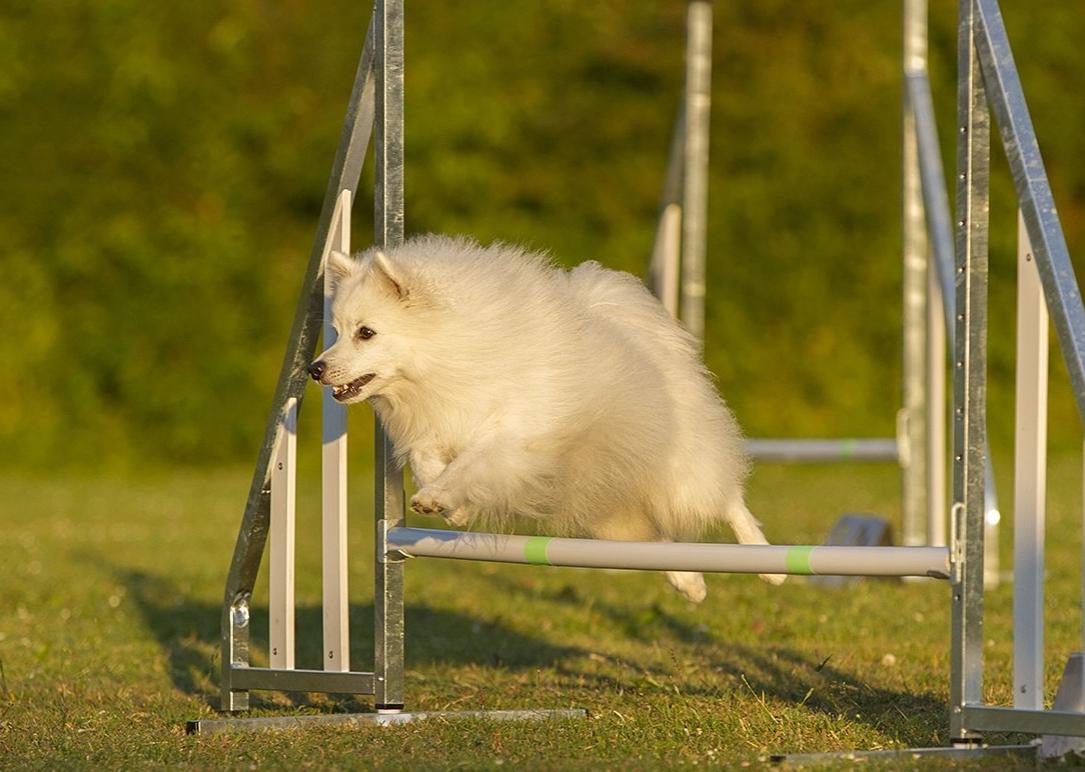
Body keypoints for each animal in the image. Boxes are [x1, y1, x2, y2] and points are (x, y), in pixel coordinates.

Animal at [310, 235, 785, 602]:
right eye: (335, 332)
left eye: (366, 333)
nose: (315, 368)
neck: (451, 355)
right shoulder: (438, 427)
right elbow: (429, 460)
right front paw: (451, 507)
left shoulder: (514, 434)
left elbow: (471, 463)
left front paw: (439, 498)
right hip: (607, 509)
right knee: (656, 542)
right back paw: (690, 582)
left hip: (679, 478)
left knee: (728, 500)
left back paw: (768, 564)